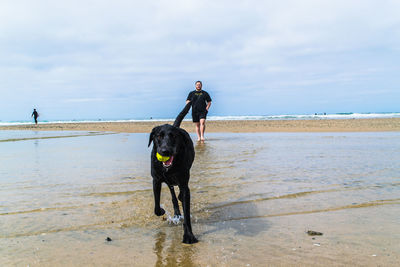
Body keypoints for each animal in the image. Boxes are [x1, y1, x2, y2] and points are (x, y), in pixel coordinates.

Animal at [148, 103, 198, 245]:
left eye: (174, 136)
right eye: (159, 136)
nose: (165, 151)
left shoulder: (184, 183)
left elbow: (186, 213)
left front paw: (189, 235)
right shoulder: (156, 180)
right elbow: (156, 205)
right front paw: (161, 210)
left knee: (179, 194)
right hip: (168, 182)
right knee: (173, 196)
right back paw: (176, 212)